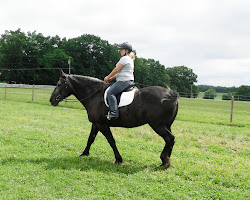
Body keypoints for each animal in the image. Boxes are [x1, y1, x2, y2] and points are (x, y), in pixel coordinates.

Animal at [49, 71, 179, 168]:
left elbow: (111, 141)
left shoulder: (102, 125)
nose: (51, 100)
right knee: (171, 140)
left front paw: (118, 159)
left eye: (59, 84)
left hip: (157, 125)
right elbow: (90, 139)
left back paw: (164, 160)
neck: (94, 95)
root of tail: (170, 95)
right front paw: (84, 153)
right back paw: (166, 160)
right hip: (167, 125)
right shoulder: (96, 124)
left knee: (170, 138)